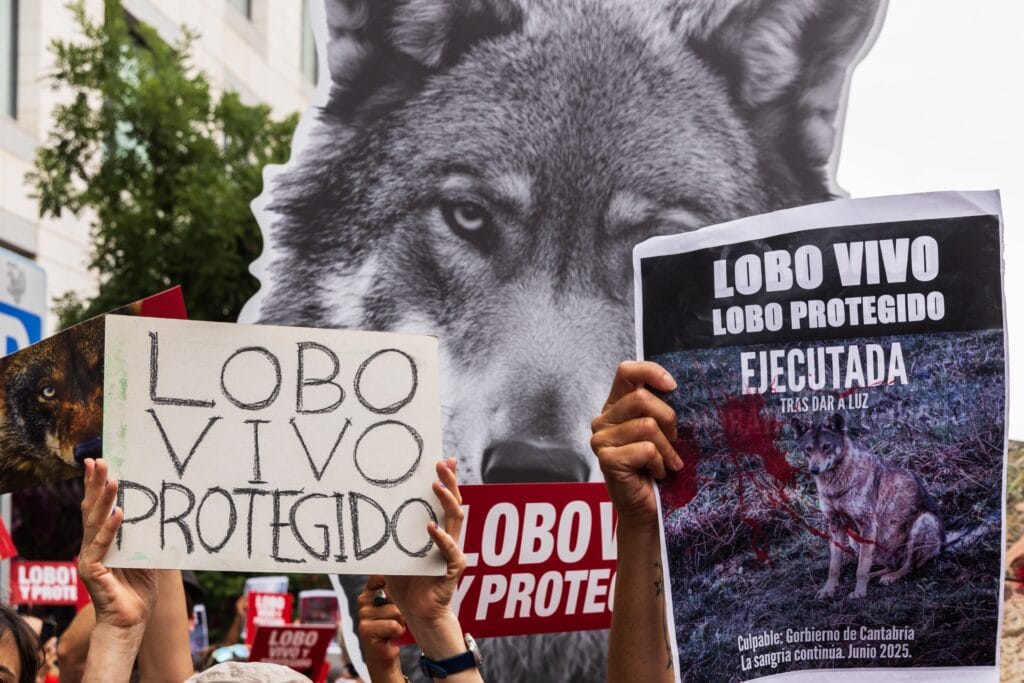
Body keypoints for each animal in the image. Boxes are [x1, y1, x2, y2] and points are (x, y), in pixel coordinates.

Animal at [791, 413, 944, 601]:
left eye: (826, 447)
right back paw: (876, 575)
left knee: (908, 566)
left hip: (924, 522)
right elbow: (834, 566)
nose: (814, 469)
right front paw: (829, 589)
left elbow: (861, 567)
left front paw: (859, 592)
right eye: (809, 449)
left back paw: (890, 577)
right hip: (855, 539)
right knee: (888, 565)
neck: (836, 486)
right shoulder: (835, 525)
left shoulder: (868, 524)